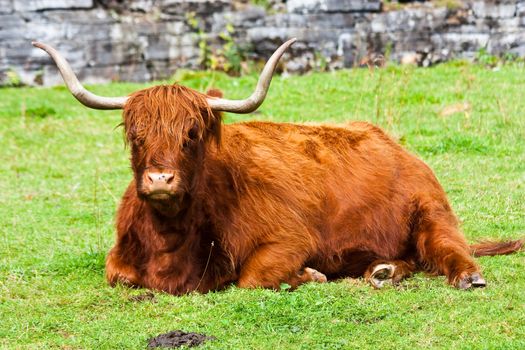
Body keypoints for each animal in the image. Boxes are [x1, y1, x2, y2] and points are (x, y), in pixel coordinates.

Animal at [34, 39, 520, 294]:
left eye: (191, 134)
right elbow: (117, 275)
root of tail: (393, 143)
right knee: (412, 259)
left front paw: (310, 274)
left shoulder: (290, 239)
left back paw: (467, 277)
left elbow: (252, 278)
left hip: (432, 210)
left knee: (447, 247)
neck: (171, 243)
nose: (159, 179)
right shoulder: (120, 262)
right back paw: (382, 271)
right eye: (136, 135)